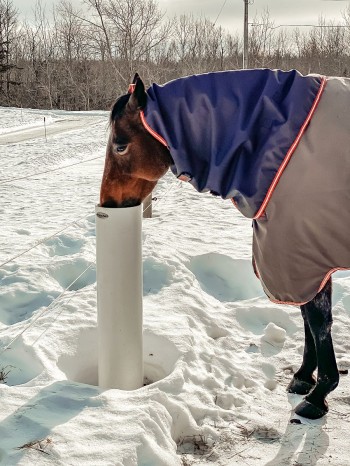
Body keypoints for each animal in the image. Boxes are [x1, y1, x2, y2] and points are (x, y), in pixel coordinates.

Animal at [99, 71, 350, 420]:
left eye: (120, 146)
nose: (107, 201)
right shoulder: (302, 262)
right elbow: (308, 319)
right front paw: (304, 378)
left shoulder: (303, 256)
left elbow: (317, 322)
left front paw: (318, 395)